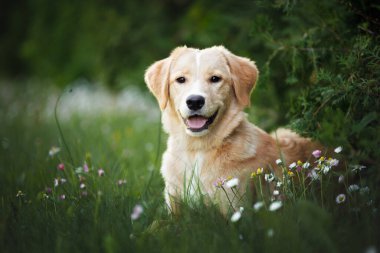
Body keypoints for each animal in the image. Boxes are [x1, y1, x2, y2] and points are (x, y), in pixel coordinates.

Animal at [145, 46, 320, 213]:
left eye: (215, 79)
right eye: (180, 79)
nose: (194, 101)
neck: (197, 149)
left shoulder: (233, 206)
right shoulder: (173, 202)